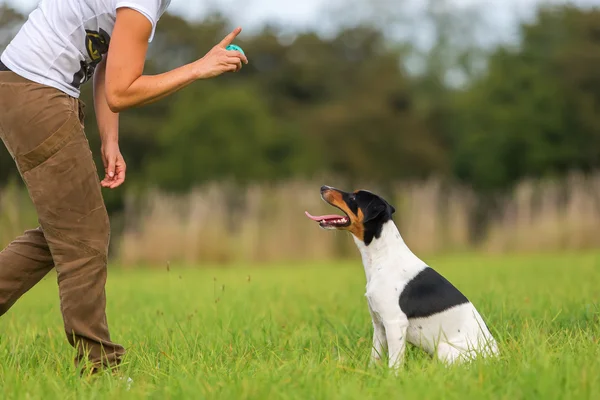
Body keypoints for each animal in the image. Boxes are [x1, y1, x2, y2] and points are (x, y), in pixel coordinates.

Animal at [304, 187, 496, 368]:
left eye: (353, 197)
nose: (323, 187)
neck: (383, 257)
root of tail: (496, 358)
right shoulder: (379, 325)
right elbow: (375, 358)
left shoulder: (395, 323)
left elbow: (394, 364)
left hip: (444, 349)